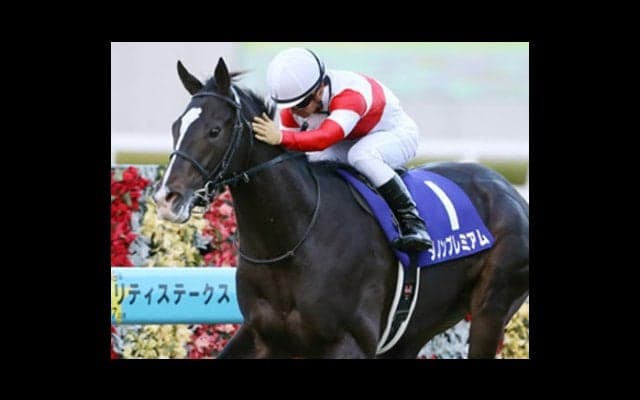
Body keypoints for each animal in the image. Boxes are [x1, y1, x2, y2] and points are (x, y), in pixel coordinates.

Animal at [152, 57, 529, 358]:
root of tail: (509, 191)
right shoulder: (260, 334)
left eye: (214, 130)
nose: (167, 198)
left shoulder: (349, 341)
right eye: (175, 127)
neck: (292, 241)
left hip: (490, 309)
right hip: (416, 329)